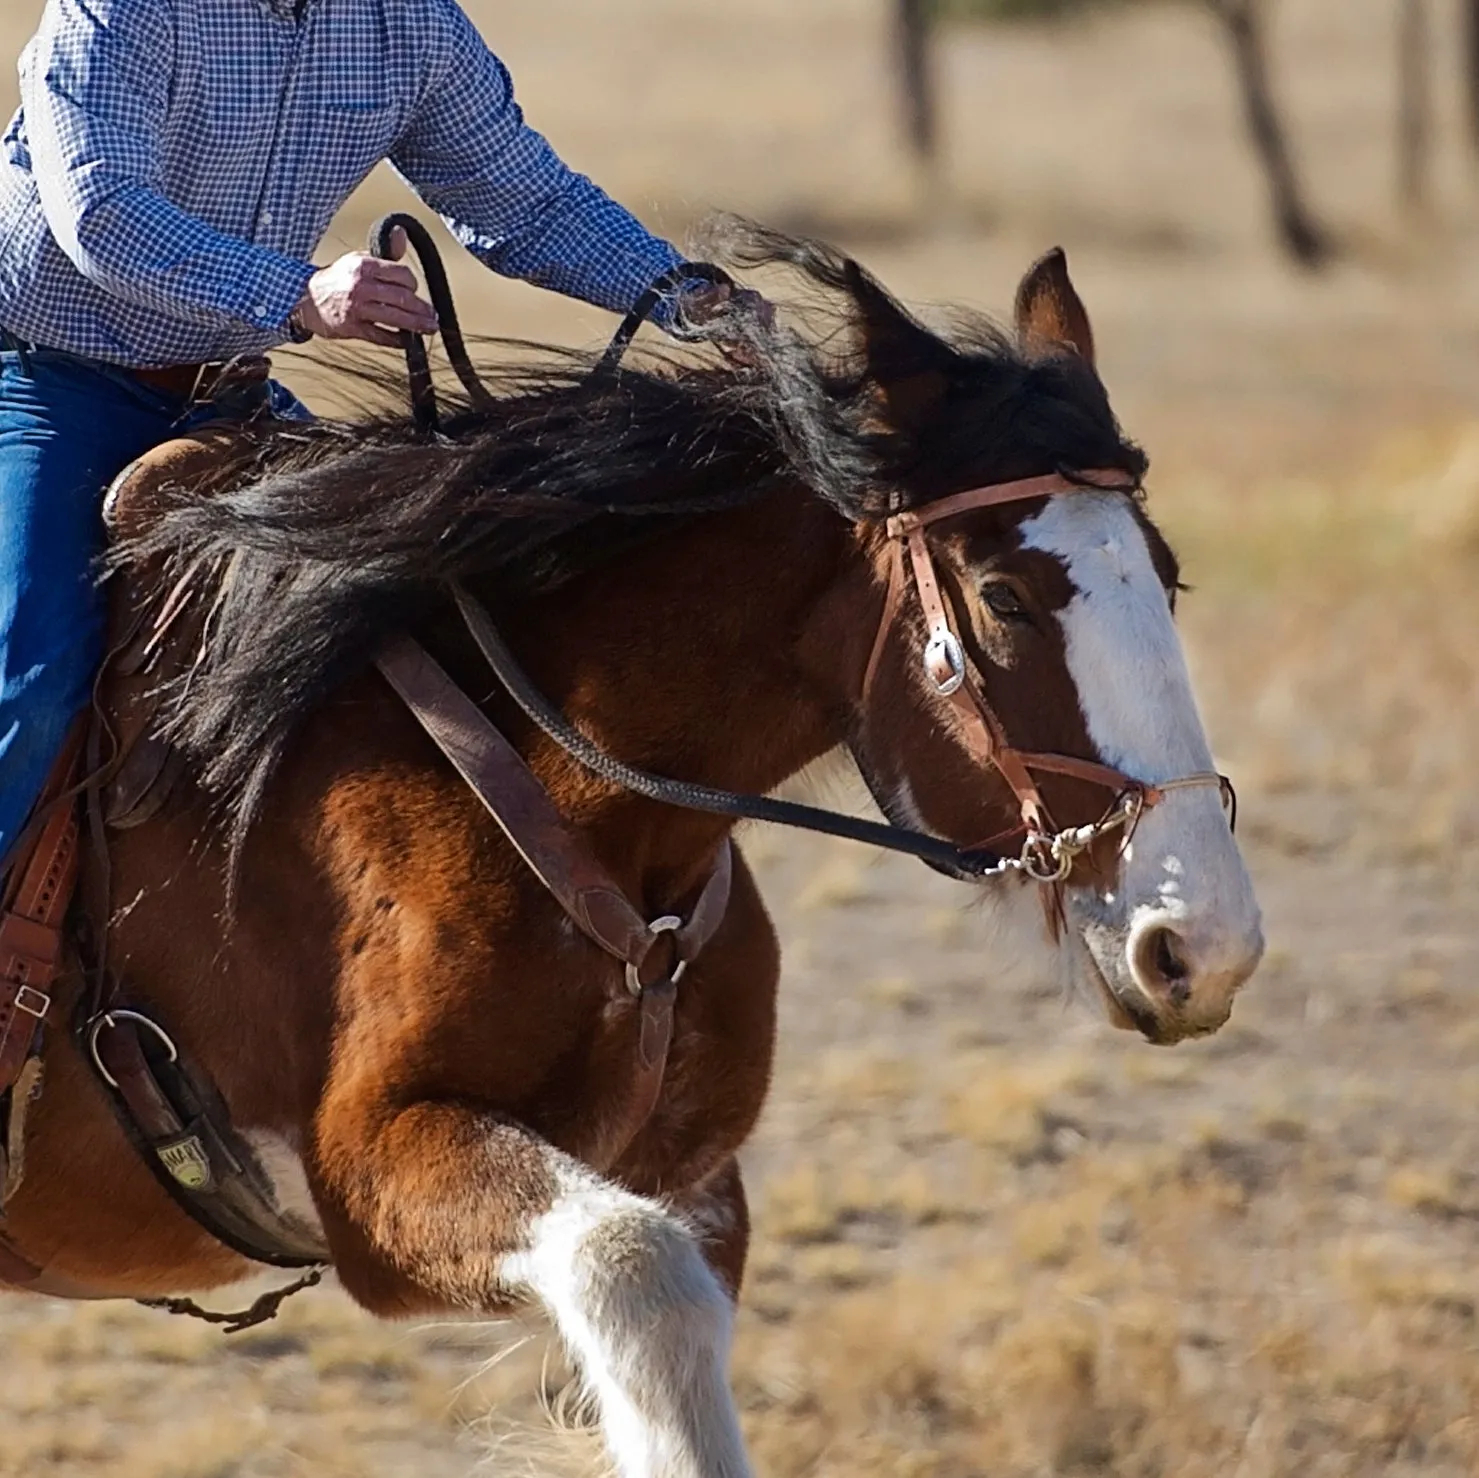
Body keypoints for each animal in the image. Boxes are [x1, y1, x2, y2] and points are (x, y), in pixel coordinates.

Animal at [0, 227, 1260, 1478]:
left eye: (1170, 574)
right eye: (1002, 596)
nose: (1205, 945)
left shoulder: (694, 1174)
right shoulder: (373, 1163)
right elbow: (632, 1271)